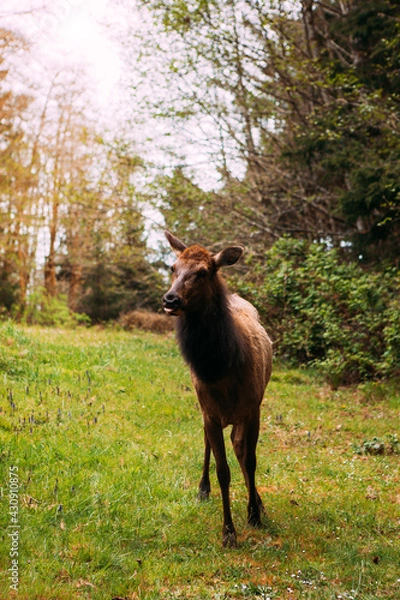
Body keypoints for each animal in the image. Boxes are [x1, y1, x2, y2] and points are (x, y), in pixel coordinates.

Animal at [162, 231, 272, 548]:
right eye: (173, 267)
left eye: (202, 272)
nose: (170, 299)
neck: (222, 370)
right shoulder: (209, 411)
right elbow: (223, 470)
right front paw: (229, 532)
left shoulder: (252, 408)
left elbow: (250, 460)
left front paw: (254, 514)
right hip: (206, 411)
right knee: (209, 443)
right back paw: (203, 488)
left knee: (239, 446)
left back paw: (258, 502)